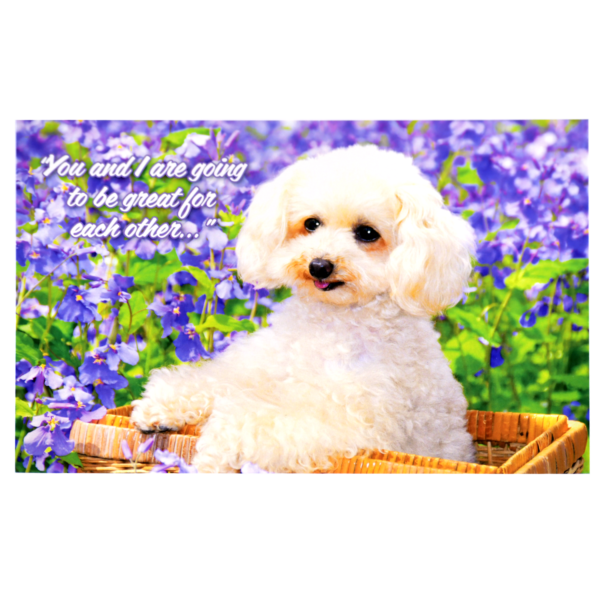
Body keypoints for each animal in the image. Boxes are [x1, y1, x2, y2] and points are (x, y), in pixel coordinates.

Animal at [130, 143, 478, 472]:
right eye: (312, 224)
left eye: (367, 233)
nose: (319, 265)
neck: (333, 323)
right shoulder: (260, 372)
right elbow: (215, 379)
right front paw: (158, 405)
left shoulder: (350, 423)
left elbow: (252, 424)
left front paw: (214, 449)